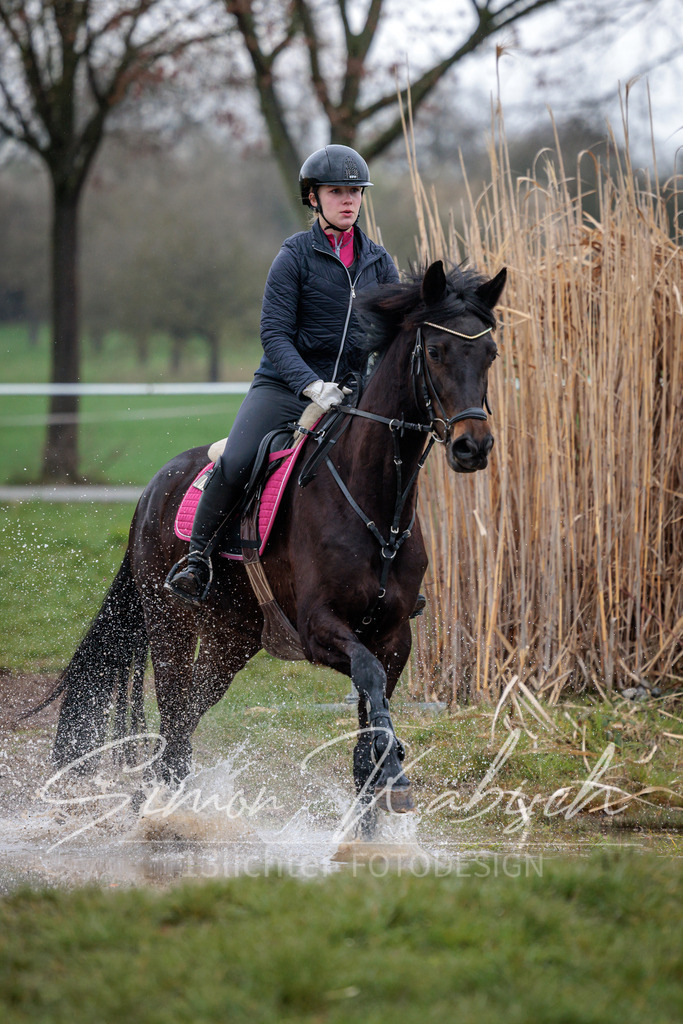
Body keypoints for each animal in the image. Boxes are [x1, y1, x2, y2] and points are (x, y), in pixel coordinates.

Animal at [35, 260, 506, 815]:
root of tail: (150, 492)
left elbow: (367, 740)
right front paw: (395, 773)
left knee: (185, 725)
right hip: (171, 627)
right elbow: (367, 678)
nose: (473, 446)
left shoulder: (395, 638)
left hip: (229, 640)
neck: (373, 504)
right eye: (434, 351)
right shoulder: (320, 628)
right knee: (173, 724)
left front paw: (381, 784)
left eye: (490, 353)